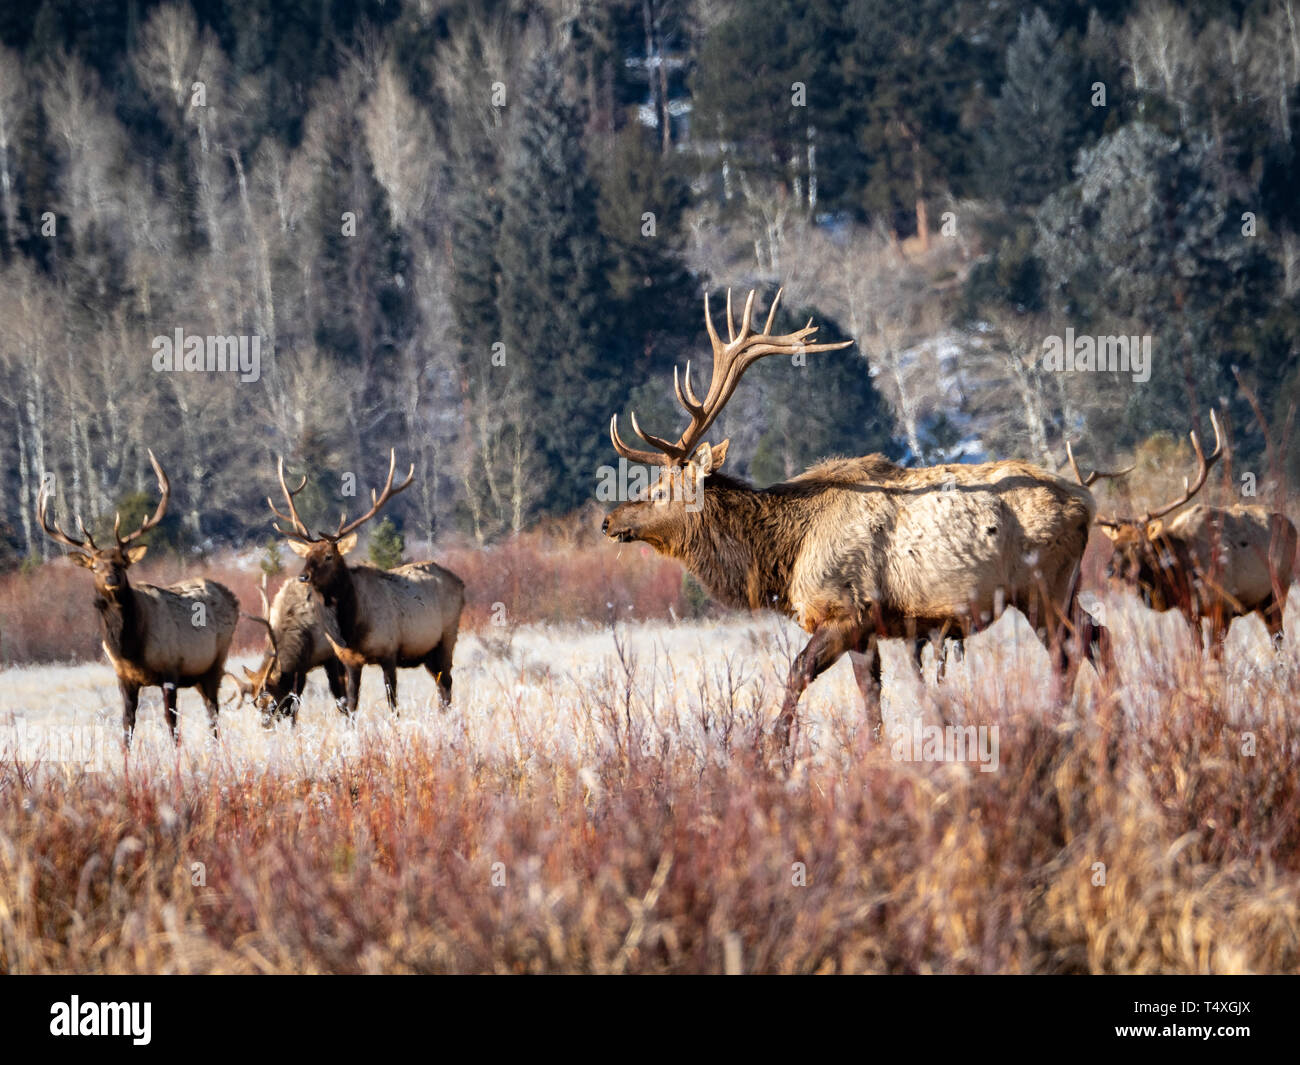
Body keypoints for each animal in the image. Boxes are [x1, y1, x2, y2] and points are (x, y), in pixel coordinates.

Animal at [38, 449, 240, 743]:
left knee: (213, 712)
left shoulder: (170, 669)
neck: (131, 647)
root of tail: (233, 596)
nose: (111, 579)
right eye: (95, 567)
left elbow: (171, 722)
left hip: (215, 661)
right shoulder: (124, 677)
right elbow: (127, 724)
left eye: (122, 563)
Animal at [228, 574, 348, 723]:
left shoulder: (330, 658)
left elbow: (338, 695)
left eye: (273, 701)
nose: (266, 724)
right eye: (256, 705)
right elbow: (295, 704)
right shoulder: (300, 668)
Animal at [266, 449, 465, 717]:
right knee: (442, 684)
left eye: (329, 556)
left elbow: (393, 703)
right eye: (306, 556)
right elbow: (350, 704)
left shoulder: (389, 651)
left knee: (447, 684)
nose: (303, 577)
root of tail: (461, 582)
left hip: (447, 636)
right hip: (428, 651)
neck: (351, 630)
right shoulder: (349, 660)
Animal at [600, 287, 1107, 743]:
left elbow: (798, 672)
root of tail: (1088, 502)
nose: (609, 521)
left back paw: (1058, 725)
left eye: (660, 490)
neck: (783, 559)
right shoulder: (867, 629)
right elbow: (871, 698)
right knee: (1096, 634)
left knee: (1066, 652)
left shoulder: (844, 610)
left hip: (1042, 587)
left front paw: (775, 750)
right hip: (1066, 588)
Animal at [1071, 410, 1294, 652]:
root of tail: (1292, 525)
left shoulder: (1222, 606)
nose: (1109, 570)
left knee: (1278, 637)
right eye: (1115, 543)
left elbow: (1215, 654)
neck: (1182, 572)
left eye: (1139, 543)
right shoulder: (1189, 611)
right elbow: (1197, 649)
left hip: (1278, 590)